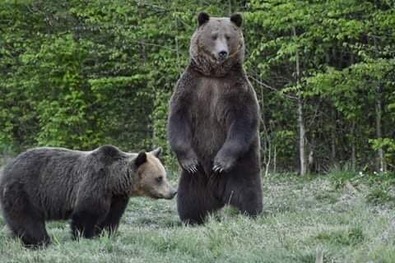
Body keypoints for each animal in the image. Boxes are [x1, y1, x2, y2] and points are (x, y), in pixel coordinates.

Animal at [0, 145, 176, 249]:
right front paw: (85, 237)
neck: (114, 181)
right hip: (25, 191)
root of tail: (7, 168)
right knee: (28, 219)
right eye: (159, 178)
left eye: (164, 175)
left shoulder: (116, 198)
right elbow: (86, 214)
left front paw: (105, 235)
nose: (173, 192)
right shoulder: (94, 184)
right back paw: (41, 241)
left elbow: (111, 218)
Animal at [168, 12, 262, 226]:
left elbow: (244, 120)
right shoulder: (191, 89)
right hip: (196, 178)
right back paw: (191, 219)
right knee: (189, 197)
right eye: (213, 36)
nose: (222, 53)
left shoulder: (237, 90)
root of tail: (218, 195)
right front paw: (189, 160)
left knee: (248, 190)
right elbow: (178, 118)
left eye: (228, 36)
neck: (214, 74)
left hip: (242, 164)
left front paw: (220, 162)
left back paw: (252, 213)